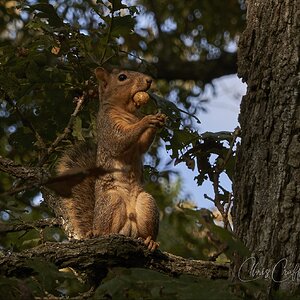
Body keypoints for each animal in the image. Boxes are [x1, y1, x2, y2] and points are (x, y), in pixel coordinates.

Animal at [56, 67, 166, 251]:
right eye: (122, 77)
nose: (149, 80)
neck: (127, 111)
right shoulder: (107, 125)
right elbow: (119, 141)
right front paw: (147, 120)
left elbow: (142, 145)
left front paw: (158, 119)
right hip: (111, 200)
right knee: (106, 228)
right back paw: (101, 234)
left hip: (146, 203)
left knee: (146, 230)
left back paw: (150, 241)